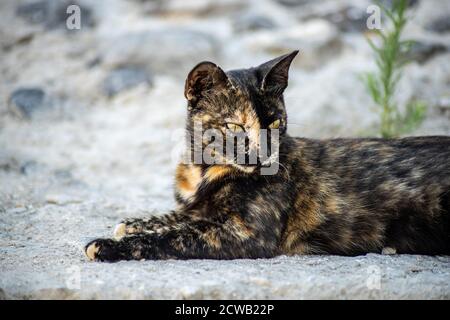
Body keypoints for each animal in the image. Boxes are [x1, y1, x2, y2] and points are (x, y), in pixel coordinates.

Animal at [85, 51, 450, 262]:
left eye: (274, 123)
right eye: (234, 126)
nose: (261, 155)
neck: (204, 171)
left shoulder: (246, 234)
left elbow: (176, 236)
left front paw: (109, 246)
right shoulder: (202, 210)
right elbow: (178, 216)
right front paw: (133, 223)